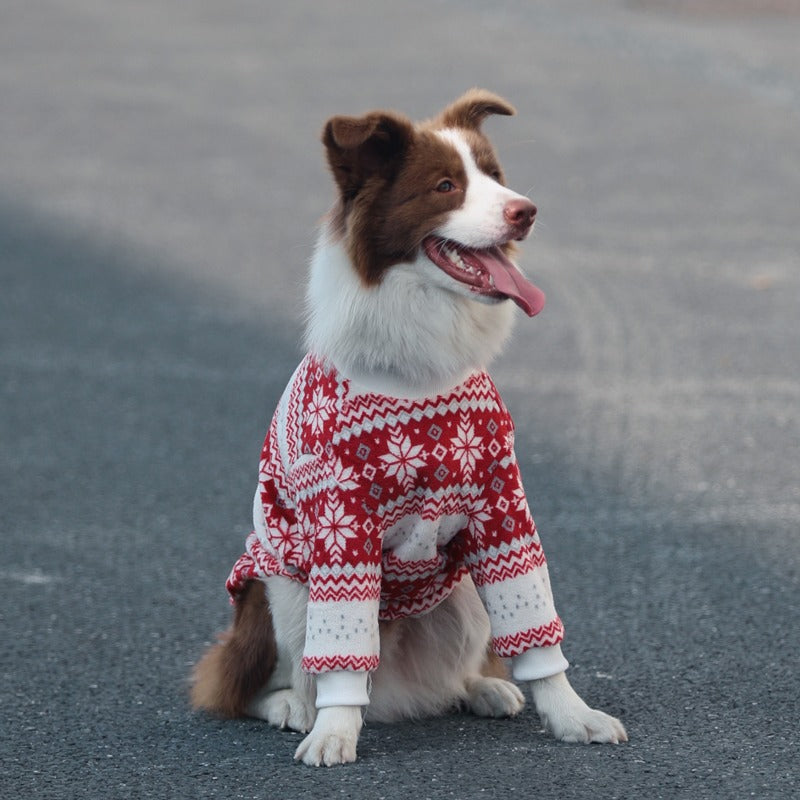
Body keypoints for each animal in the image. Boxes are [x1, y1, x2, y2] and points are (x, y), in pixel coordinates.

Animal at [191, 90, 628, 764]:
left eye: (494, 175)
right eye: (445, 186)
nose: (525, 211)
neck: (421, 370)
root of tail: (392, 690)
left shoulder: (502, 509)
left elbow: (535, 631)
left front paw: (572, 716)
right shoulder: (342, 524)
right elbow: (337, 653)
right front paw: (333, 733)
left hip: (465, 593)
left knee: (449, 674)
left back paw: (481, 688)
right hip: (280, 588)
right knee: (250, 682)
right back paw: (295, 707)